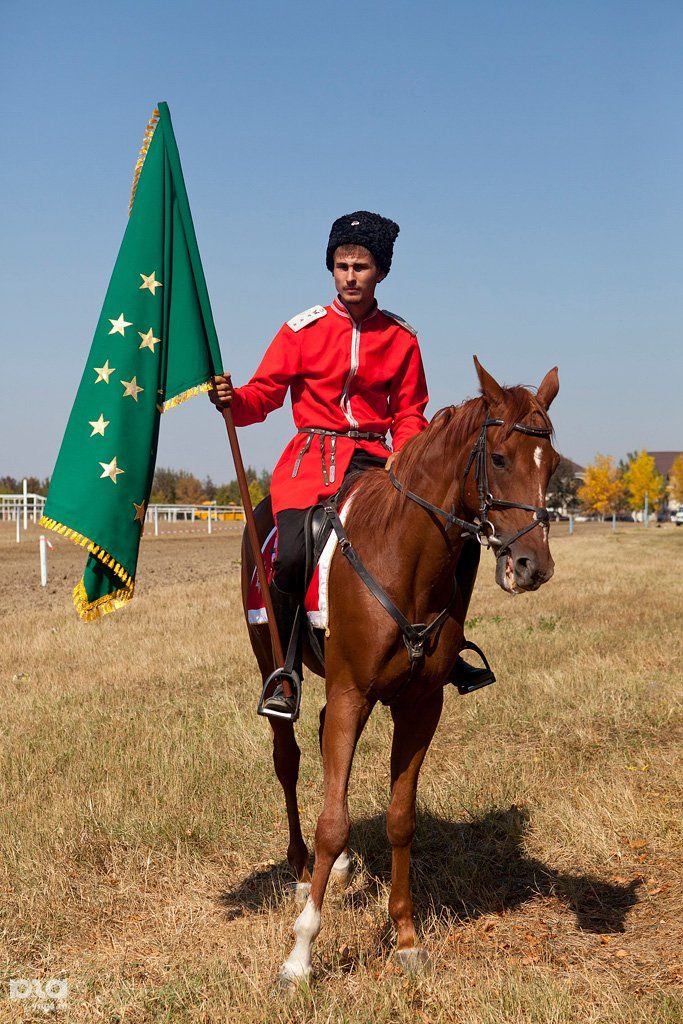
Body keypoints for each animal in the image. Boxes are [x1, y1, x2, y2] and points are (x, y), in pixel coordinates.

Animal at [240, 358, 561, 983]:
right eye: (500, 458)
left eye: (552, 463)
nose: (531, 565)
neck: (403, 556)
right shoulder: (351, 694)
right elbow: (332, 822)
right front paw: (301, 952)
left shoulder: (419, 705)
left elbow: (400, 818)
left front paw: (406, 937)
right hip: (273, 659)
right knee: (288, 758)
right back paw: (301, 870)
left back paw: (335, 868)